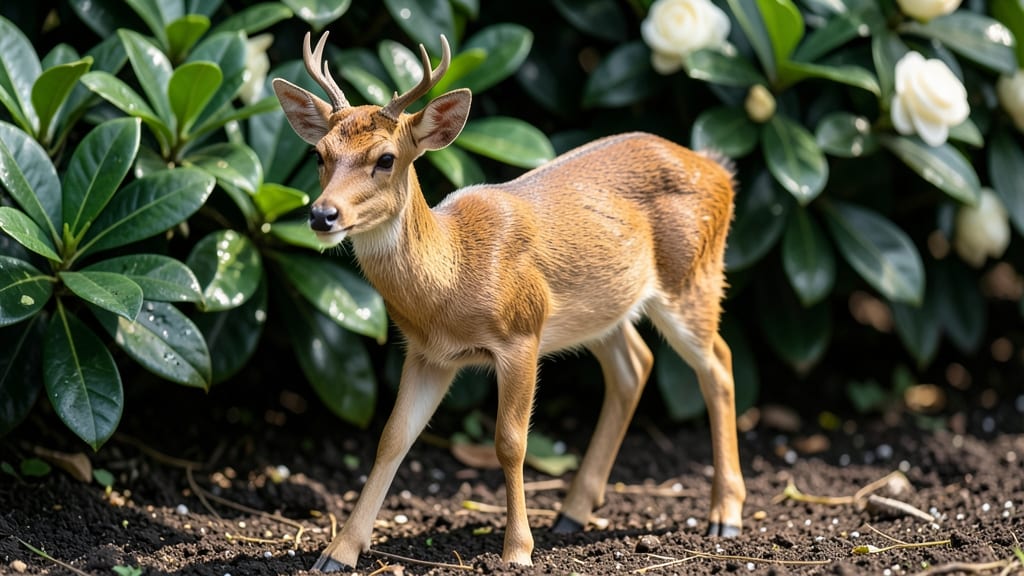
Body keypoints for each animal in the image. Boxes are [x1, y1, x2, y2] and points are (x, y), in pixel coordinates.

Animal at [272, 31, 746, 572]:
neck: (452, 278)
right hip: (599, 311)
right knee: (635, 365)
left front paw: (517, 551)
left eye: (386, 158)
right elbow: (393, 438)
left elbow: (510, 443)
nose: (322, 214)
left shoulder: (522, 333)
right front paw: (338, 552)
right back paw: (572, 513)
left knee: (719, 364)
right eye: (319, 154)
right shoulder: (428, 353)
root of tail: (720, 171)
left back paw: (726, 516)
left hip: (693, 277)